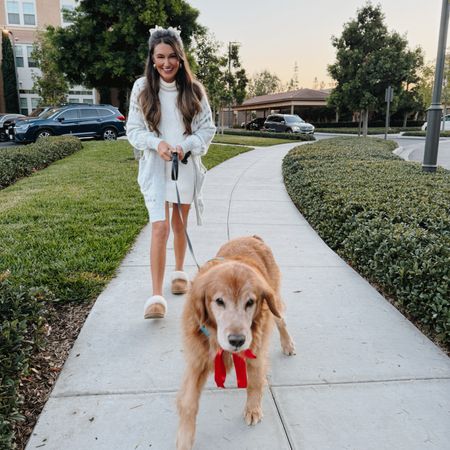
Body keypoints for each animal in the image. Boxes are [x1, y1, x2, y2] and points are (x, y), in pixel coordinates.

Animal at [176, 236, 296, 450]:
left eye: (250, 302)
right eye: (219, 301)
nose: (237, 340)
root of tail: (252, 236)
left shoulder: (255, 351)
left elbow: (254, 382)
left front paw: (253, 409)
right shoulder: (198, 360)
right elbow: (188, 402)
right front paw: (184, 438)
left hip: (274, 303)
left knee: (281, 321)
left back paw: (287, 344)